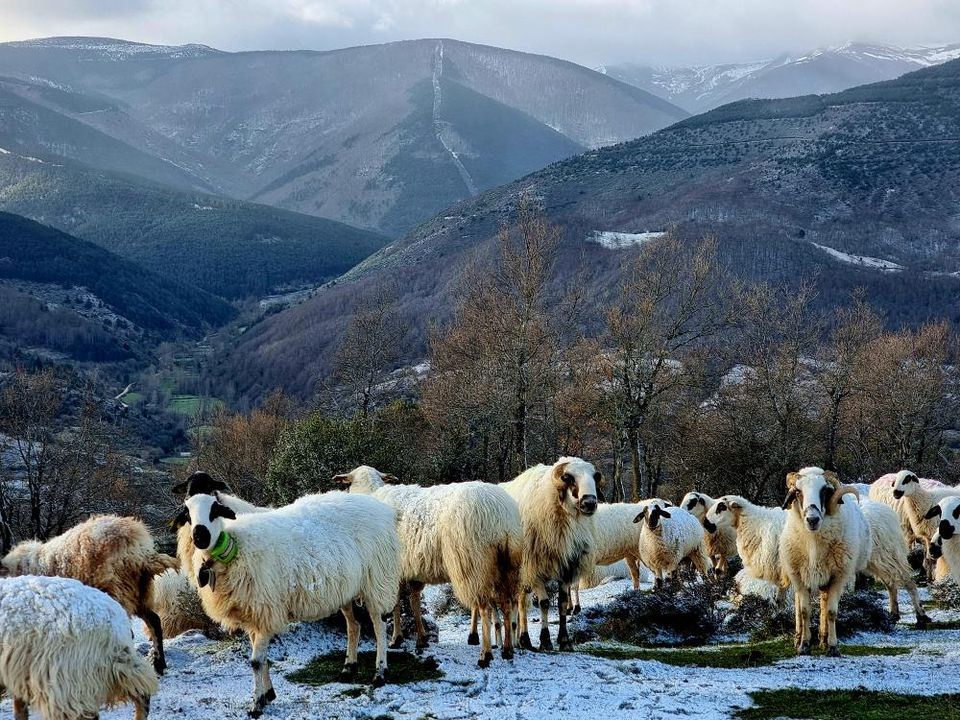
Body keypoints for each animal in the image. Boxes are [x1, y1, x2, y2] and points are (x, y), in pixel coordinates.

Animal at [1, 515, 178, 674]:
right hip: (140, 594)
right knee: (154, 621)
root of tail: (140, 553)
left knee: (130, 631)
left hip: (118, 592)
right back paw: (159, 663)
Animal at [178, 490, 400, 716]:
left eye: (215, 510)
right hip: (346, 589)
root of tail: (382, 508)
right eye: (187, 514)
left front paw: (256, 704)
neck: (235, 547)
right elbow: (262, 659)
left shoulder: (265, 611)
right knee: (354, 626)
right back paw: (348, 668)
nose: (200, 537)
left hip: (377, 580)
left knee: (379, 626)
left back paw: (380, 673)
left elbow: (256, 662)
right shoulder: (252, 615)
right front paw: (267, 695)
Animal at [335, 466, 522, 667]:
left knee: (484, 607)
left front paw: (396, 639)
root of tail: (500, 514)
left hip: (473, 564)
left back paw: (485, 654)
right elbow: (414, 602)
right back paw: (507, 649)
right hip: (508, 566)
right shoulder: (413, 571)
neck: (371, 493)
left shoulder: (393, 570)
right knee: (507, 604)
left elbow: (397, 604)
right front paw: (421, 638)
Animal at [500, 457, 599, 652]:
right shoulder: (534, 567)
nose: (590, 503)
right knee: (521, 603)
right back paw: (524, 639)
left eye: (594, 477)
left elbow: (562, 603)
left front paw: (565, 641)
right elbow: (544, 603)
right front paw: (545, 640)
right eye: (568, 477)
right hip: (521, 570)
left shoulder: (567, 567)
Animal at [780, 467, 868, 656]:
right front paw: (804, 645)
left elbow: (831, 612)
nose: (812, 519)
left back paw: (824, 639)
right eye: (797, 492)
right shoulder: (799, 577)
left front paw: (833, 647)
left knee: (824, 603)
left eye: (825, 491)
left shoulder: (838, 577)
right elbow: (804, 611)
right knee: (798, 604)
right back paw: (797, 638)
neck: (813, 545)